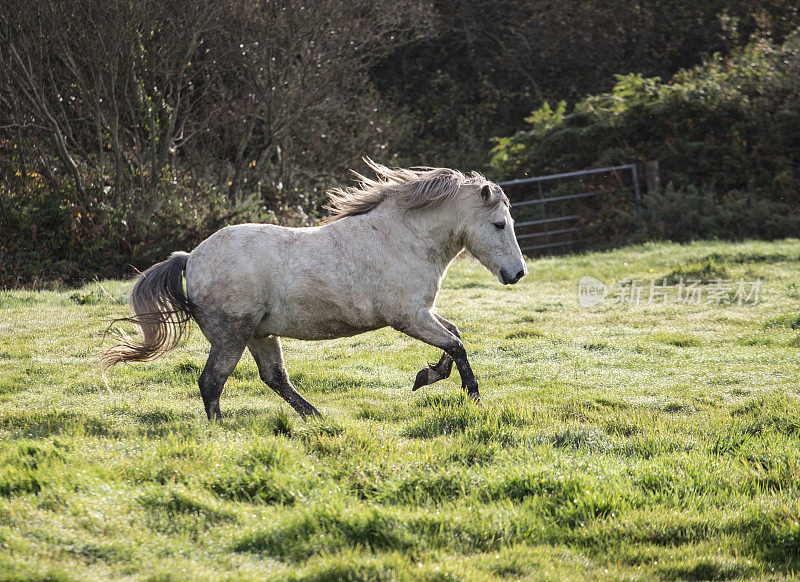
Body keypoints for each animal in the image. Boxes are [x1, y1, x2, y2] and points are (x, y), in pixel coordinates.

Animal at [103, 161, 528, 420]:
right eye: (499, 224)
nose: (518, 274)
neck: (402, 239)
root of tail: (191, 258)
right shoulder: (408, 317)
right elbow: (457, 345)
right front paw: (472, 396)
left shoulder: (421, 313)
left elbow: (453, 337)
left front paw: (426, 376)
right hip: (232, 335)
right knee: (213, 381)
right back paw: (220, 430)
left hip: (259, 334)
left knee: (274, 378)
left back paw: (316, 417)